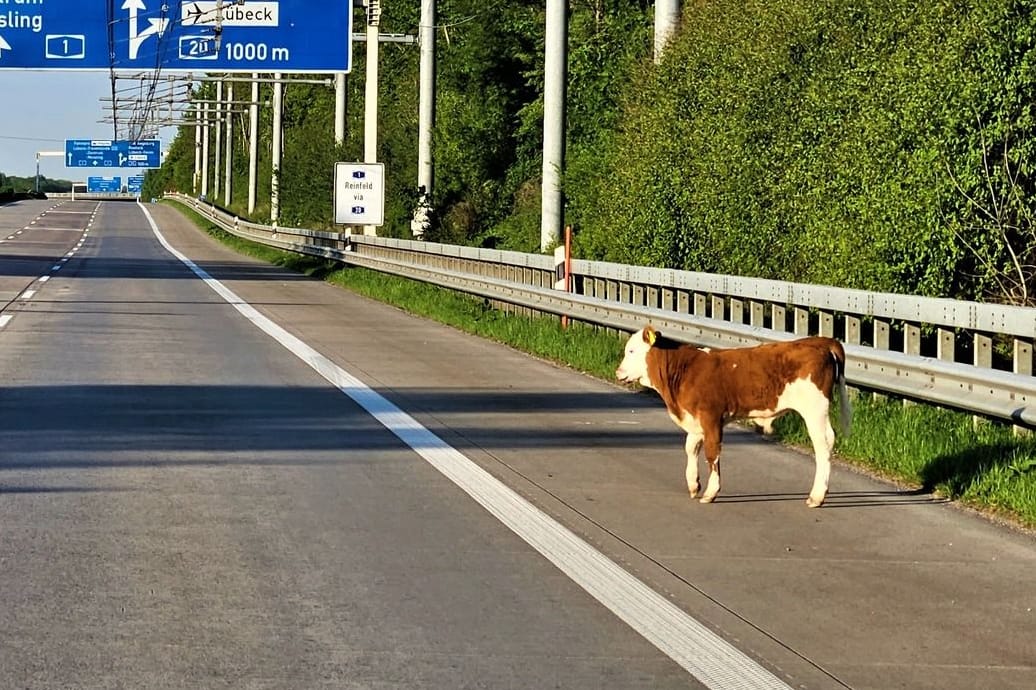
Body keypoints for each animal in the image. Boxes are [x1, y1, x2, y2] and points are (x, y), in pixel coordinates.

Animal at [613, 323, 849, 505]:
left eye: (632, 351)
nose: (618, 372)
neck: (685, 371)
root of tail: (822, 341)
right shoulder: (695, 420)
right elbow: (691, 448)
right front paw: (693, 483)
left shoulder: (711, 417)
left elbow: (712, 453)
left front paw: (710, 492)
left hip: (814, 409)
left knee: (823, 446)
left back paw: (817, 496)